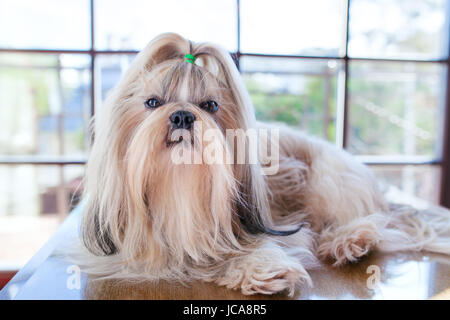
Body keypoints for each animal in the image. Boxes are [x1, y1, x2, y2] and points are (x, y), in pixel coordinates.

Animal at [81, 33, 450, 296]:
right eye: (152, 103)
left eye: (210, 105)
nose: (183, 115)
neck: (179, 189)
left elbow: (261, 246)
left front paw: (262, 267)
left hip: (329, 181)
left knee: (374, 222)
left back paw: (349, 240)